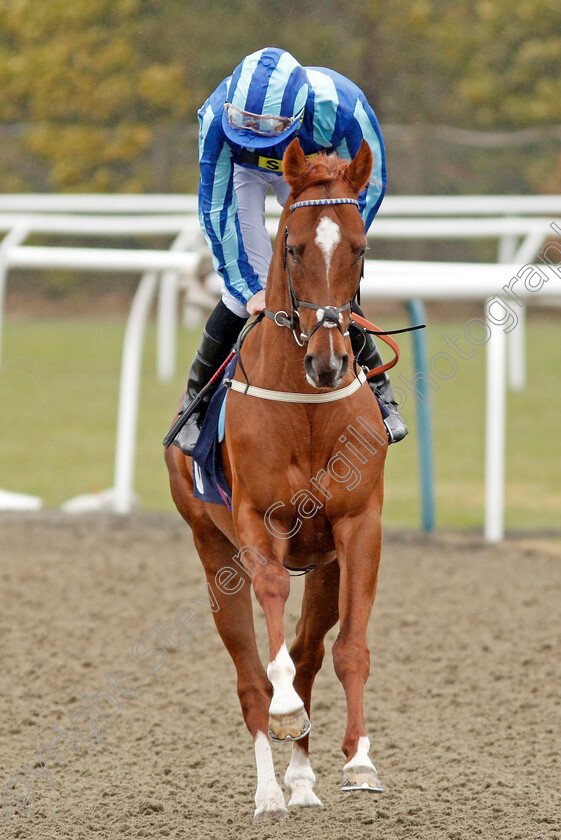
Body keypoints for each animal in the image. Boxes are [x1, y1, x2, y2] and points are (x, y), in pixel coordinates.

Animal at [164, 139, 388, 820]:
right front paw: (287, 721)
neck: (306, 408)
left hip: (323, 563)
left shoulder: (357, 526)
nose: (329, 360)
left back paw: (302, 779)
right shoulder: (257, 524)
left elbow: (348, 649)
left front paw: (359, 761)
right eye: (292, 246)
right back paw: (269, 790)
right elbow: (271, 649)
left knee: (311, 654)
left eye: (359, 247)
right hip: (212, 551)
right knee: (250, 677)